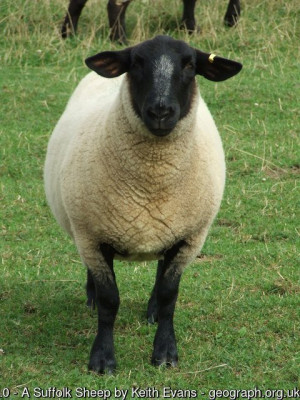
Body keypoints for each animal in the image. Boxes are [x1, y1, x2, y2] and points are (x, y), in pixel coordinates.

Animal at [44, 32, 241, 374]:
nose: (161, 111)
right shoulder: (93, 236)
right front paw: (102, 359)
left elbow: (169, 294)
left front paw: (165, 353)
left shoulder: (188, 238)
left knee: (161, 270)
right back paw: (90, 298)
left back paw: (151, 311)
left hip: (171, 227)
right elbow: (109, 301)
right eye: (135, 63)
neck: (151, 186)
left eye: (190, 65)